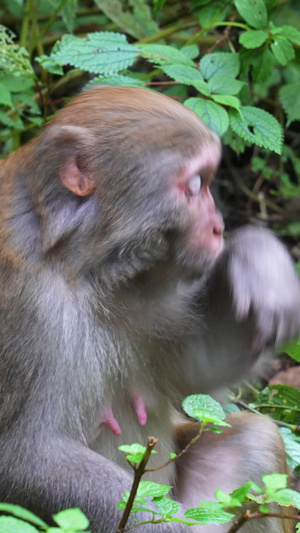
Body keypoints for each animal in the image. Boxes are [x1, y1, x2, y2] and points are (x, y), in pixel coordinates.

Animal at [0, 85, 300, 528]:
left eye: (208, 183)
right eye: (195, 185)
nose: (219, 227)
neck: (79, 265)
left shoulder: (147, 285)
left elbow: (198, 367)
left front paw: (261, 265)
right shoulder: (24, 310)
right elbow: (23, 457)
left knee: (256, 438)